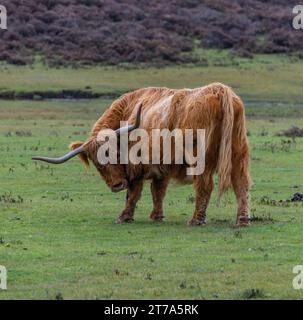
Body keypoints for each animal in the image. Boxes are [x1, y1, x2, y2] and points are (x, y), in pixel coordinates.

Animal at [33, 84, 252, 226]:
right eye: (98, 164)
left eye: (112, 153)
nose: (116, 185)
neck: (128, 111)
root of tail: (220, 90)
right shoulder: (162, 168)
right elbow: (158, 191)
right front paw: (156, 216)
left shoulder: (136, 167)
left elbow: (134, 193)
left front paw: (124, 217)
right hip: (238, 152)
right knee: (241, 183)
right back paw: (242, 219)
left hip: (200, 158)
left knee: (205, 185)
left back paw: (196, 220)